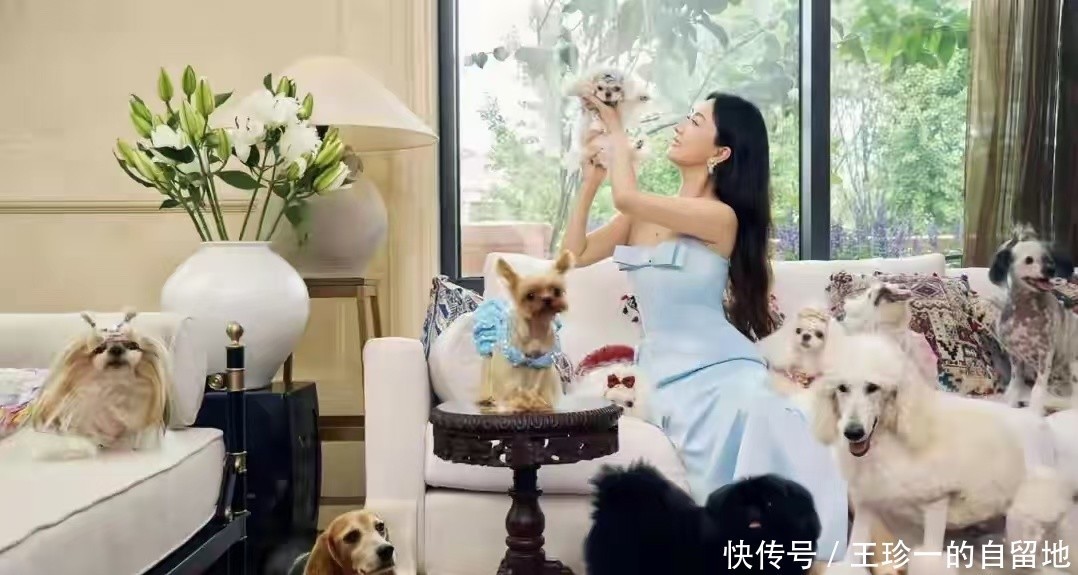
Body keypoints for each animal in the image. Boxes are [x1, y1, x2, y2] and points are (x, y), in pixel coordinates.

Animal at [476, 251, 572, 413]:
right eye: (530, 295)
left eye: (556, 291)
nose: (547, 299)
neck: (536, 327)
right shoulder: (513, 363)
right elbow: (513, 385)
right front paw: (518, 402)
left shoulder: (541, 362)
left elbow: (537, 385)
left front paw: (536, 402)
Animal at [812, 332, 1073, 574]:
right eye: (842, 388)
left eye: (873, 387)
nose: (853, 433)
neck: (892, 439)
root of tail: (1034, 414)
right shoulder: (868, 502)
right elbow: (852, 556)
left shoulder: (936, 502)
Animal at [989, 224, 1078, 415]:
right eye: (1029, 260)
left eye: (1048, 259)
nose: (1050, 269)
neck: (1026, 314)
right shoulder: (1015, 357)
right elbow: (1015, 385)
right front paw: (1013, 403)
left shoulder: (1045, 355)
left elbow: (1037, 390)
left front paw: (1035, 412)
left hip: (1074, 366)